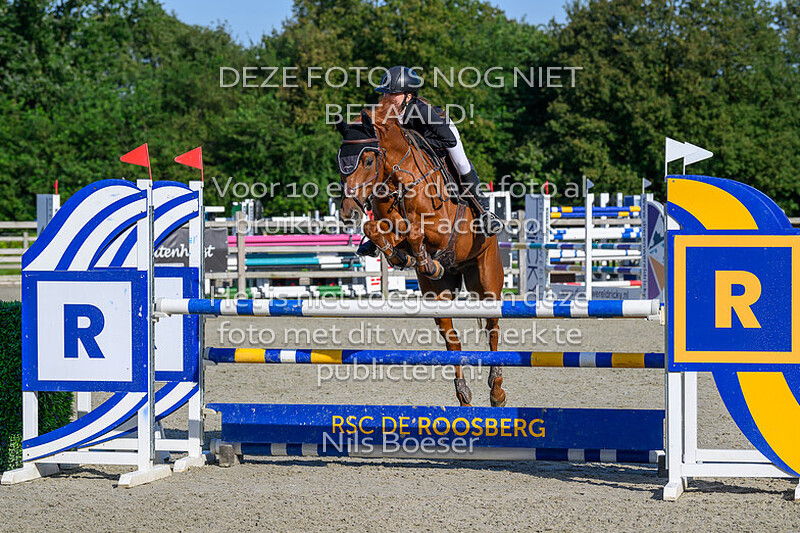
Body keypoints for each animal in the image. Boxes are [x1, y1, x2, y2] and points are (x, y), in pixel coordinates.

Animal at [336, 106, 507, 407]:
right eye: (339, 162)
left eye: (367, 160)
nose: (348, 213)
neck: (397, 178)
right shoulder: (386, 223)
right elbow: (379, 230)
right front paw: (402, 258)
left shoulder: (441, 228)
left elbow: (414, 229)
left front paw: (419, 257)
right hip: (438, 293)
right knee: (452, 340)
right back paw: (463, 393)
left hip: (486, 279)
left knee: (492, 329)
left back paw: (496, 391)